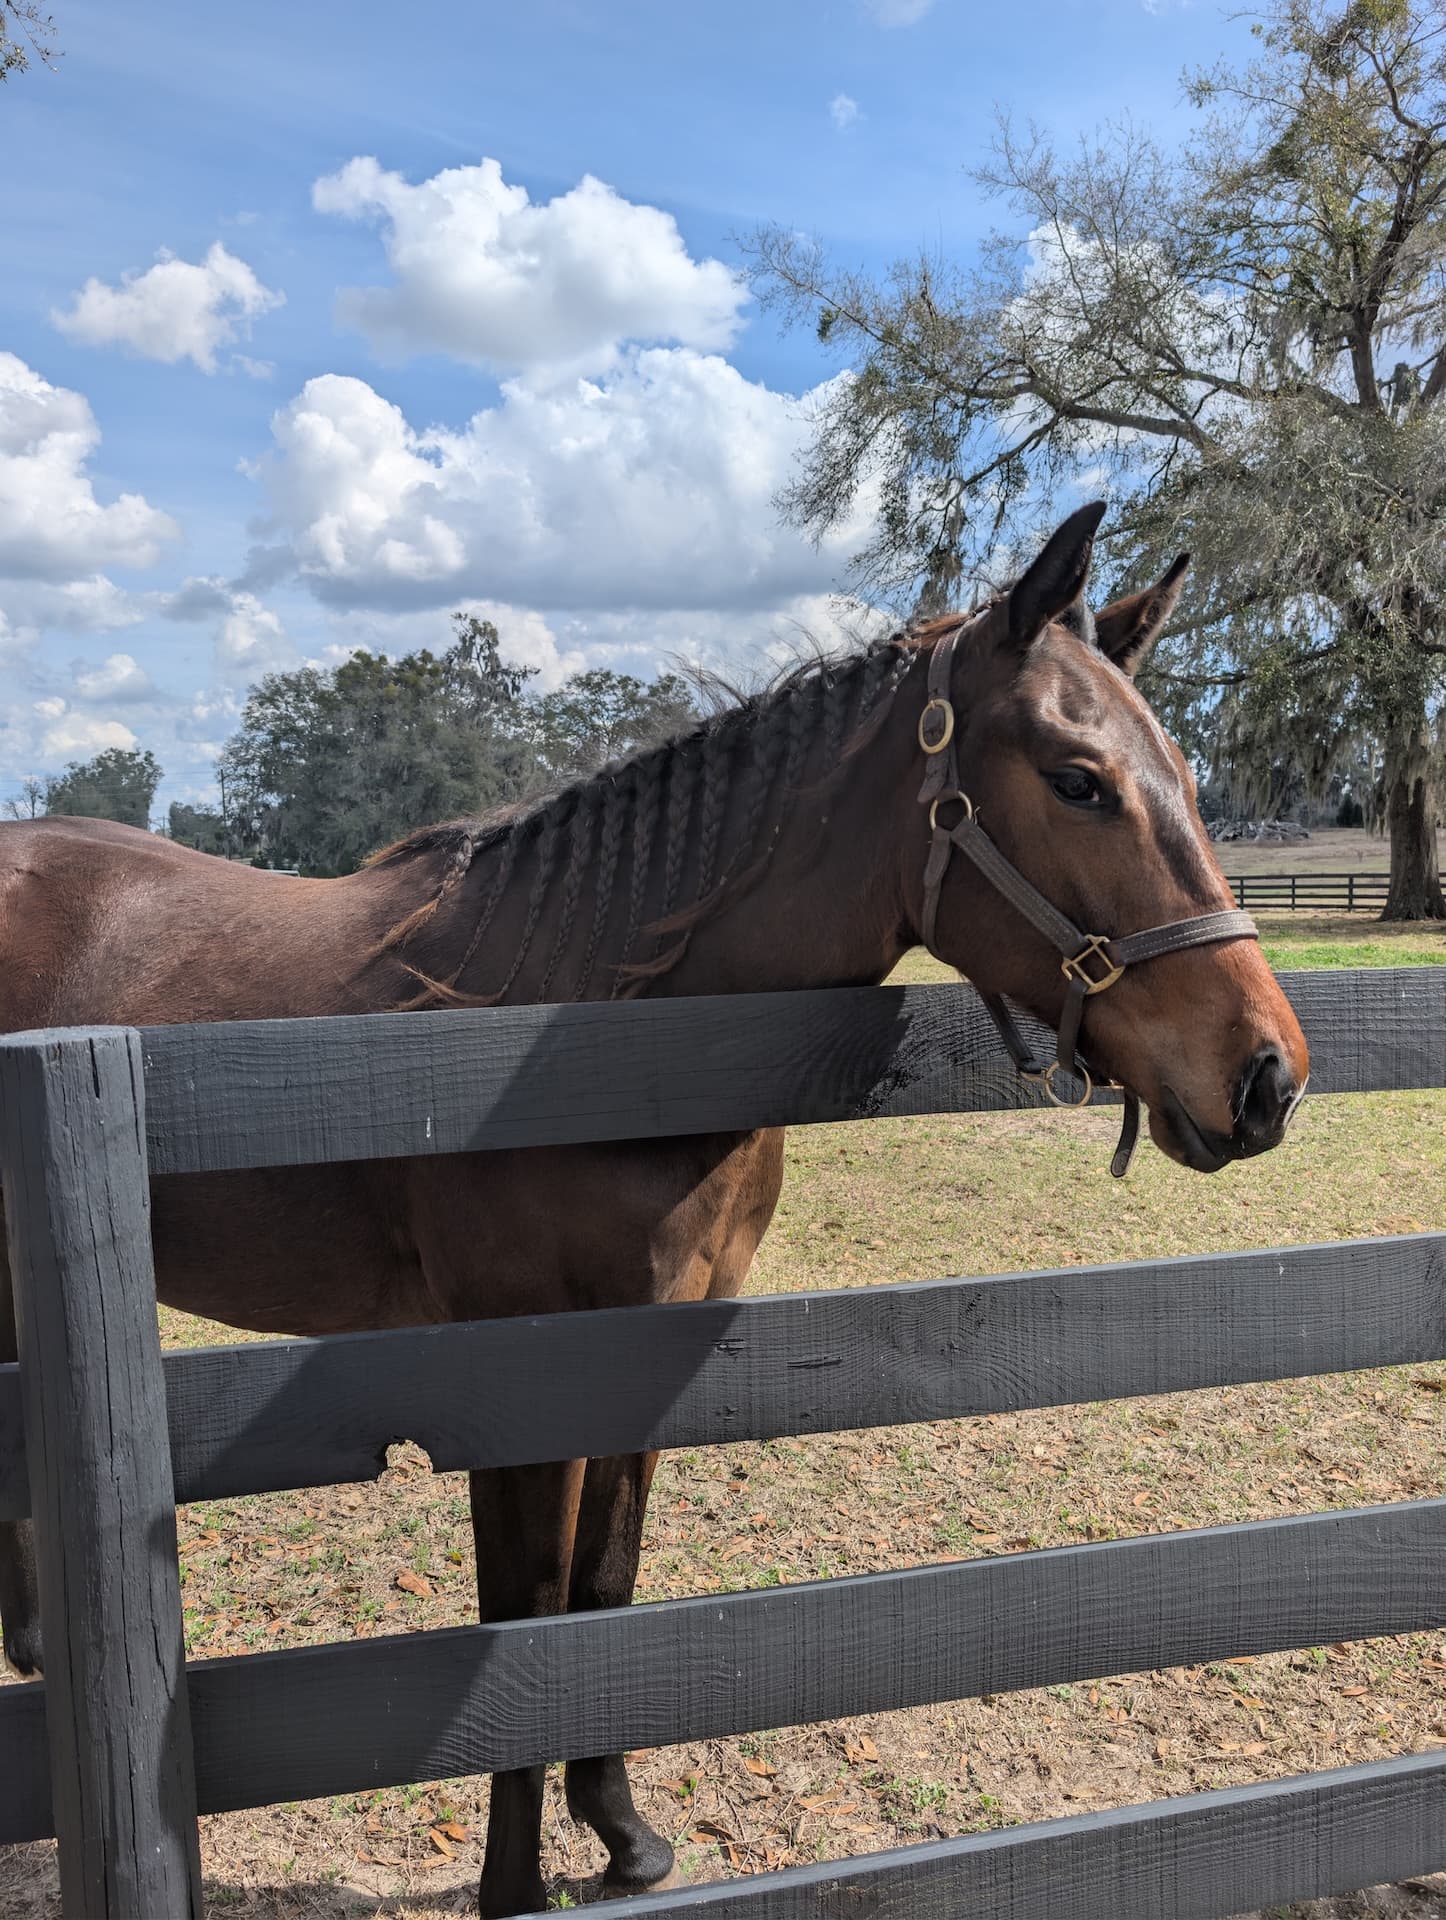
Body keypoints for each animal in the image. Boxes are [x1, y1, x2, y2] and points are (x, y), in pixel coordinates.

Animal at [0, 504, 1309, 1917]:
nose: (1267, 1075)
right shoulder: (514, 1385)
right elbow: (524, 1622)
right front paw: (517, 1884)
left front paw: (620, 1833)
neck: (602, 1033)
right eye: (1077, 780)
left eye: (1187, 775)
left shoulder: (657, 1343)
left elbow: (605, 1591)